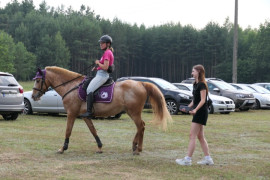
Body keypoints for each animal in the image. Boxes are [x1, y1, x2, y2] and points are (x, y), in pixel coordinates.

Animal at [31, 66, 171, 155]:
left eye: (38, 80)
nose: (33, 96)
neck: (71, 86)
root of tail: (141, 83)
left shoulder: (71, 114)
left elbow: (68, 131)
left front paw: (62, 148)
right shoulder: (85, 116)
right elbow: (93, 130)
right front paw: (99, 147)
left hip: (134, 112)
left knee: (141, 126)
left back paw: (138, 149)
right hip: (131, 112)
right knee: (141, 126)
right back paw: (134, 145)